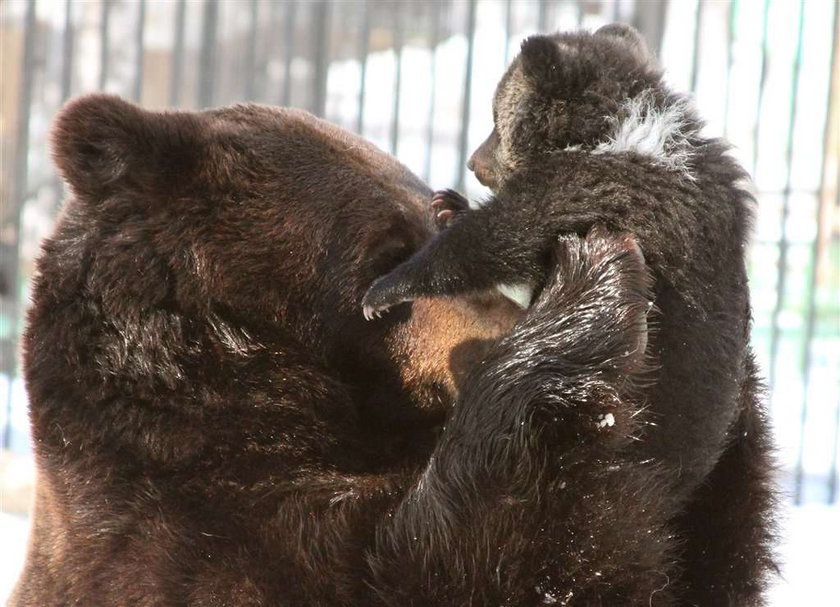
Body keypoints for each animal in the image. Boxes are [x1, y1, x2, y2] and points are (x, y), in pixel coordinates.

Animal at [18, 92, 684, 604]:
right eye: (388, 253)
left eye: (444, 222)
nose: (503, 326)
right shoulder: (199, 536)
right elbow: (454, 556)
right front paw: (593, 278)